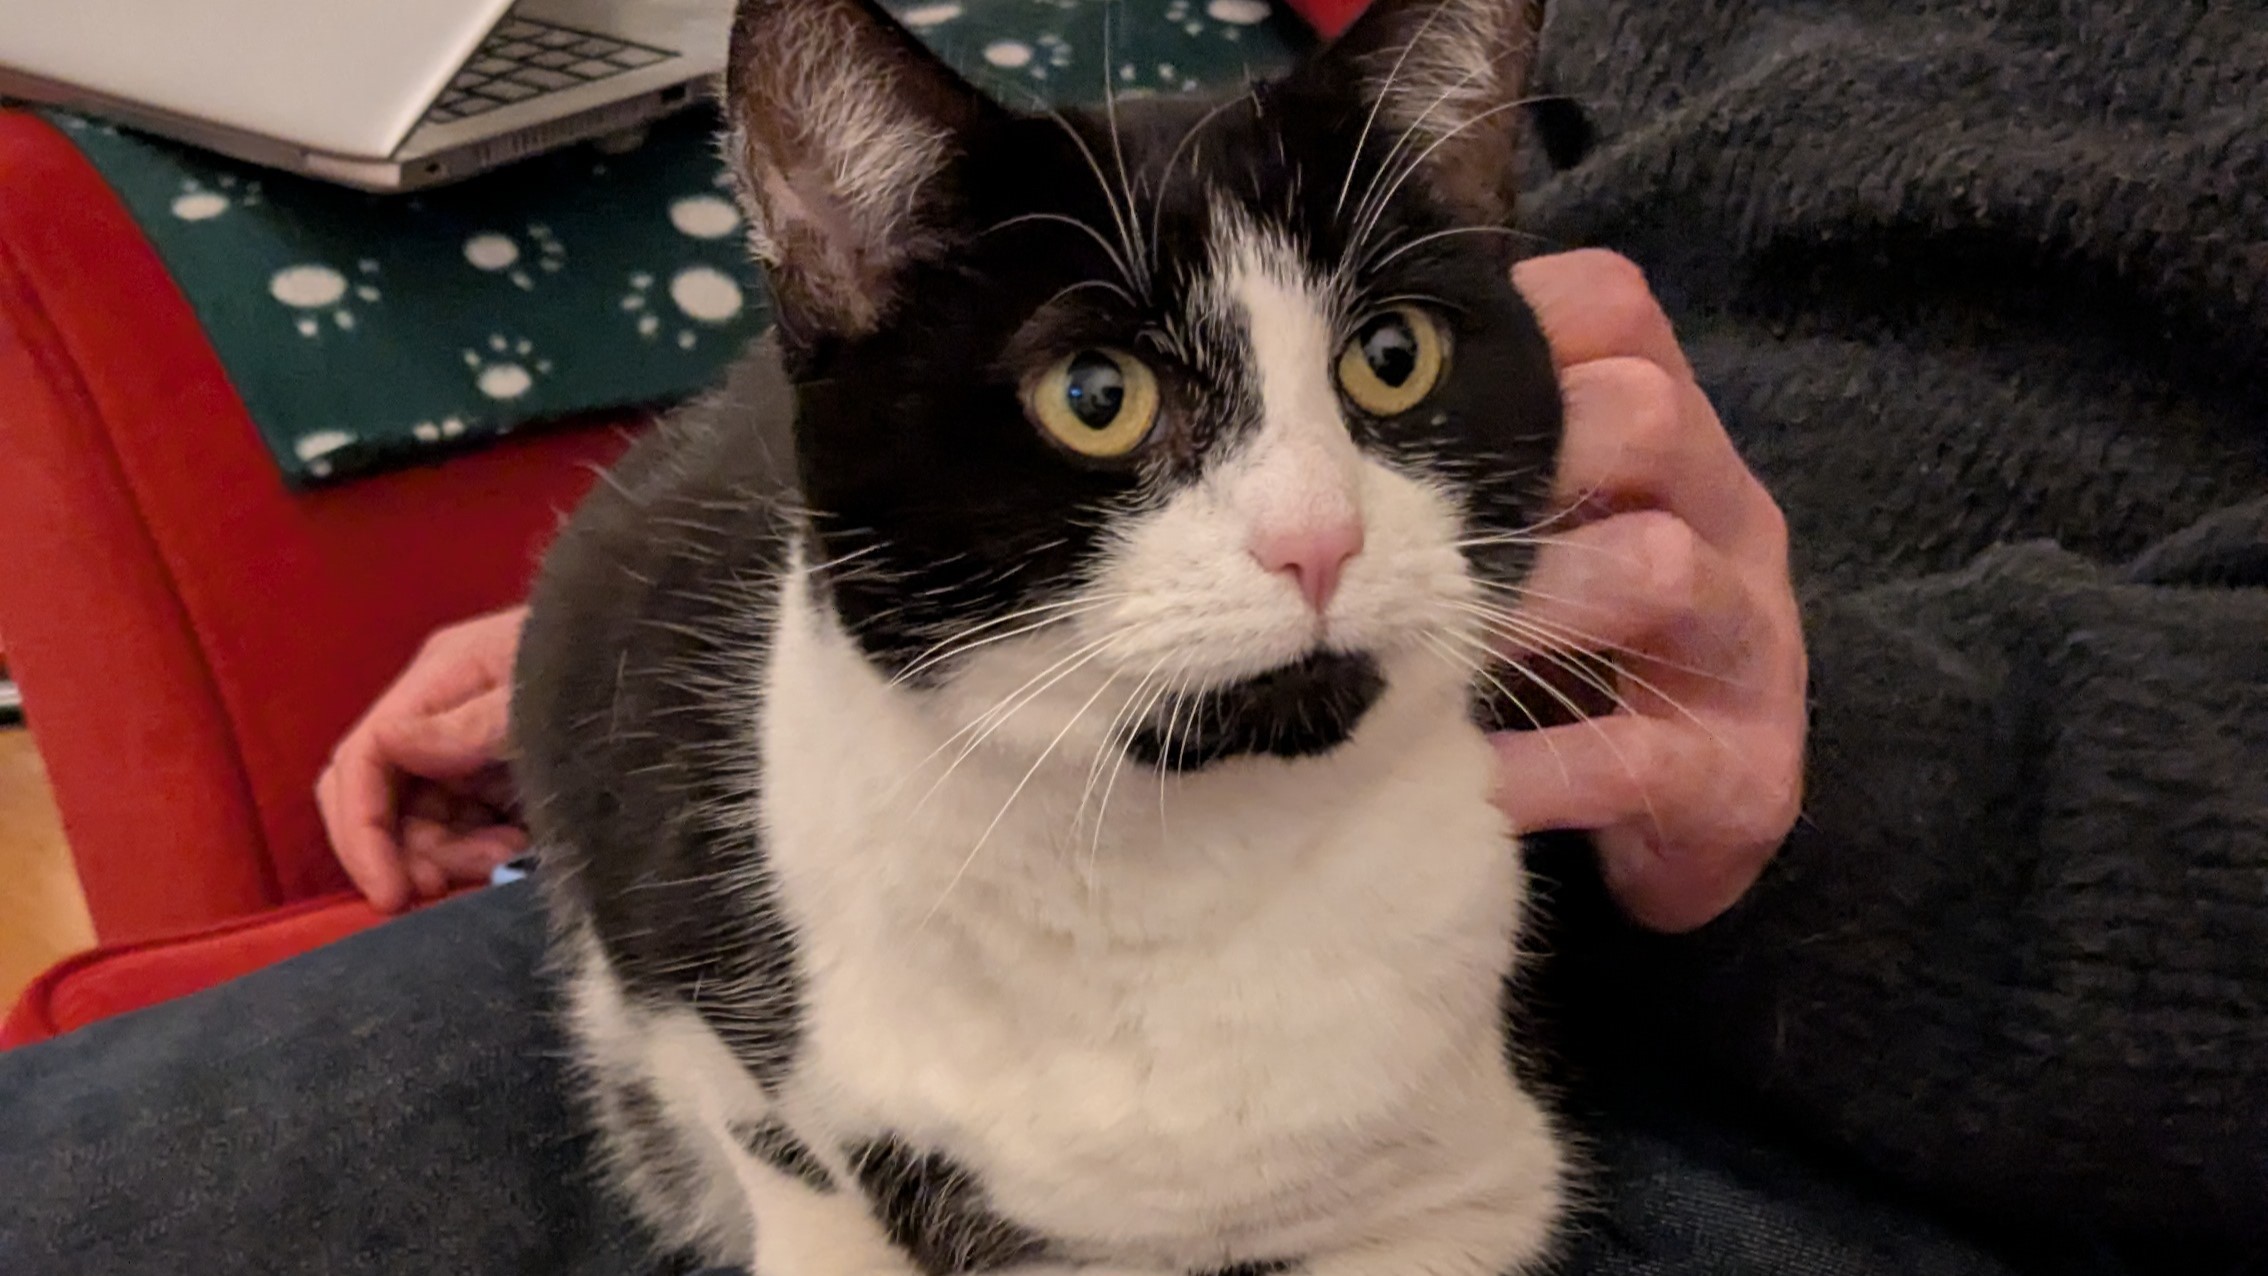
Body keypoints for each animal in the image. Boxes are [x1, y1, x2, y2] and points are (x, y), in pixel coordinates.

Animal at [511, 0, 1574, 1272]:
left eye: (1395, 356)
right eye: (1094, 396)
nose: (1318, 538)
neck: (1175, 875)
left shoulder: (1470, 1190)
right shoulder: (683, 960)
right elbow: (791, 1158)